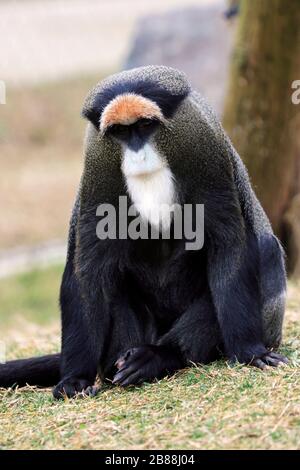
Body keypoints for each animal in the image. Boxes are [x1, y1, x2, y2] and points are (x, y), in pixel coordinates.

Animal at [0, 64, 288, 398]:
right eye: (121, 132)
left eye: (146, 125)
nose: (138, 155)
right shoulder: (98, 174)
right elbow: (88, 269)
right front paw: (74, 378)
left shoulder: (207, 153)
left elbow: (229, 246)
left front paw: (250, 352)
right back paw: (123, 363)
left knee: (263, 253)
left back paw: (158, 357)